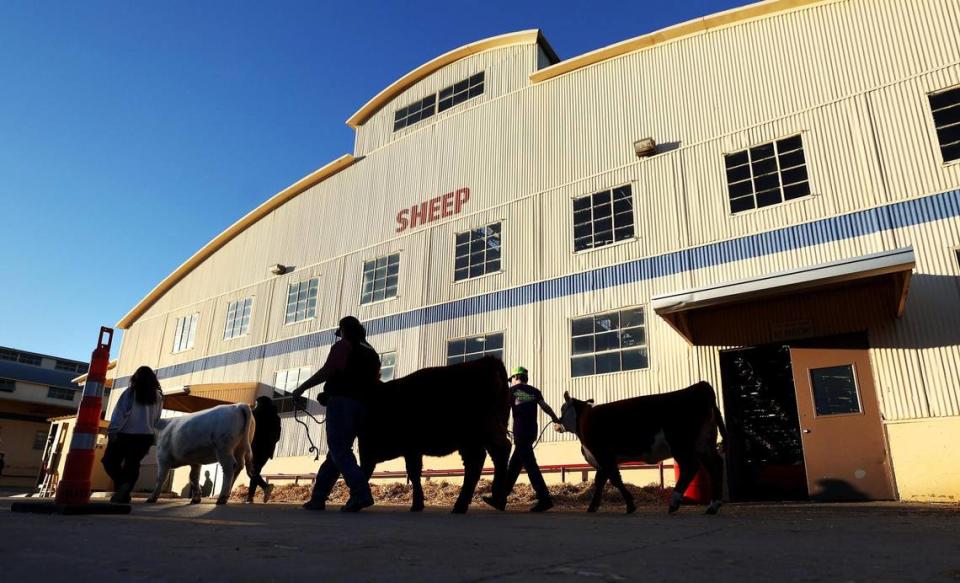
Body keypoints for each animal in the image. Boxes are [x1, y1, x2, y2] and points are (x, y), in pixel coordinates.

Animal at [358, 356, 510, 516]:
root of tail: (486, 361)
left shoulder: (410, 448)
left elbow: (413, 472)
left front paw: (416, 504)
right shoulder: (413, 450)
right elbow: (415, 473)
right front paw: (418, 504)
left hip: (476, 435)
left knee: (487, 457)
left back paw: (465, 505)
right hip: (482, 435)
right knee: (492, 455)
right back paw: (495, 500)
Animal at [556, 384, 728, 516]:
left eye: (562, 408)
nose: (557, 423)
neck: (584, 418)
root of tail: (701, 386)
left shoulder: (602, 454)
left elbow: (615, 480)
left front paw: (630, 505)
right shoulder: (604, 459)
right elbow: (601, 482)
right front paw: (593, 506)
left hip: (681, 445)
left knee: (690, 467)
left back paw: (674, 502)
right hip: (703, 444)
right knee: (715, 465)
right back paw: (713, 506)